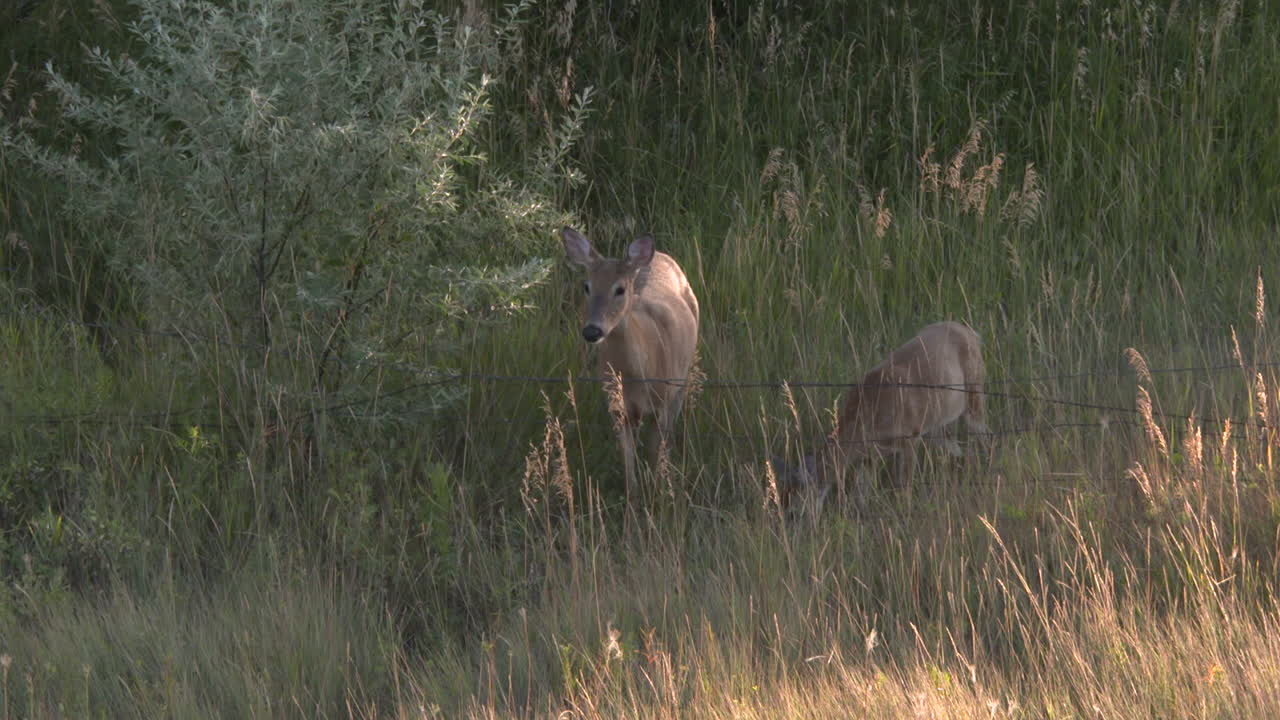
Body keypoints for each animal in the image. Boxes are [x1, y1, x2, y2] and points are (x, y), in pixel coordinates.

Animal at [561, 226, 700, 497]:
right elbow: (628, 462)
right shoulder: (618, 409)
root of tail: (661, 256)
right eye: (586, 286)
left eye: (620, 289)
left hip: (683, 376)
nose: (592, 331)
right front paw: (633, 496)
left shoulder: (661, 403)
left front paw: (659, 490)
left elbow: (656, 453)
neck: (638, 374)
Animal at [770, 321, 990, 515]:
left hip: (974, 392)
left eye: (794, 512)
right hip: (938, 422)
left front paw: (905, 512)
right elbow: (860, 492)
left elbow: (904, 486)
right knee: (954, 445)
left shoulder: (911, 435)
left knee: (984, 434)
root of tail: (972, 333)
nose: (787, 520)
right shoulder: (869, 454)